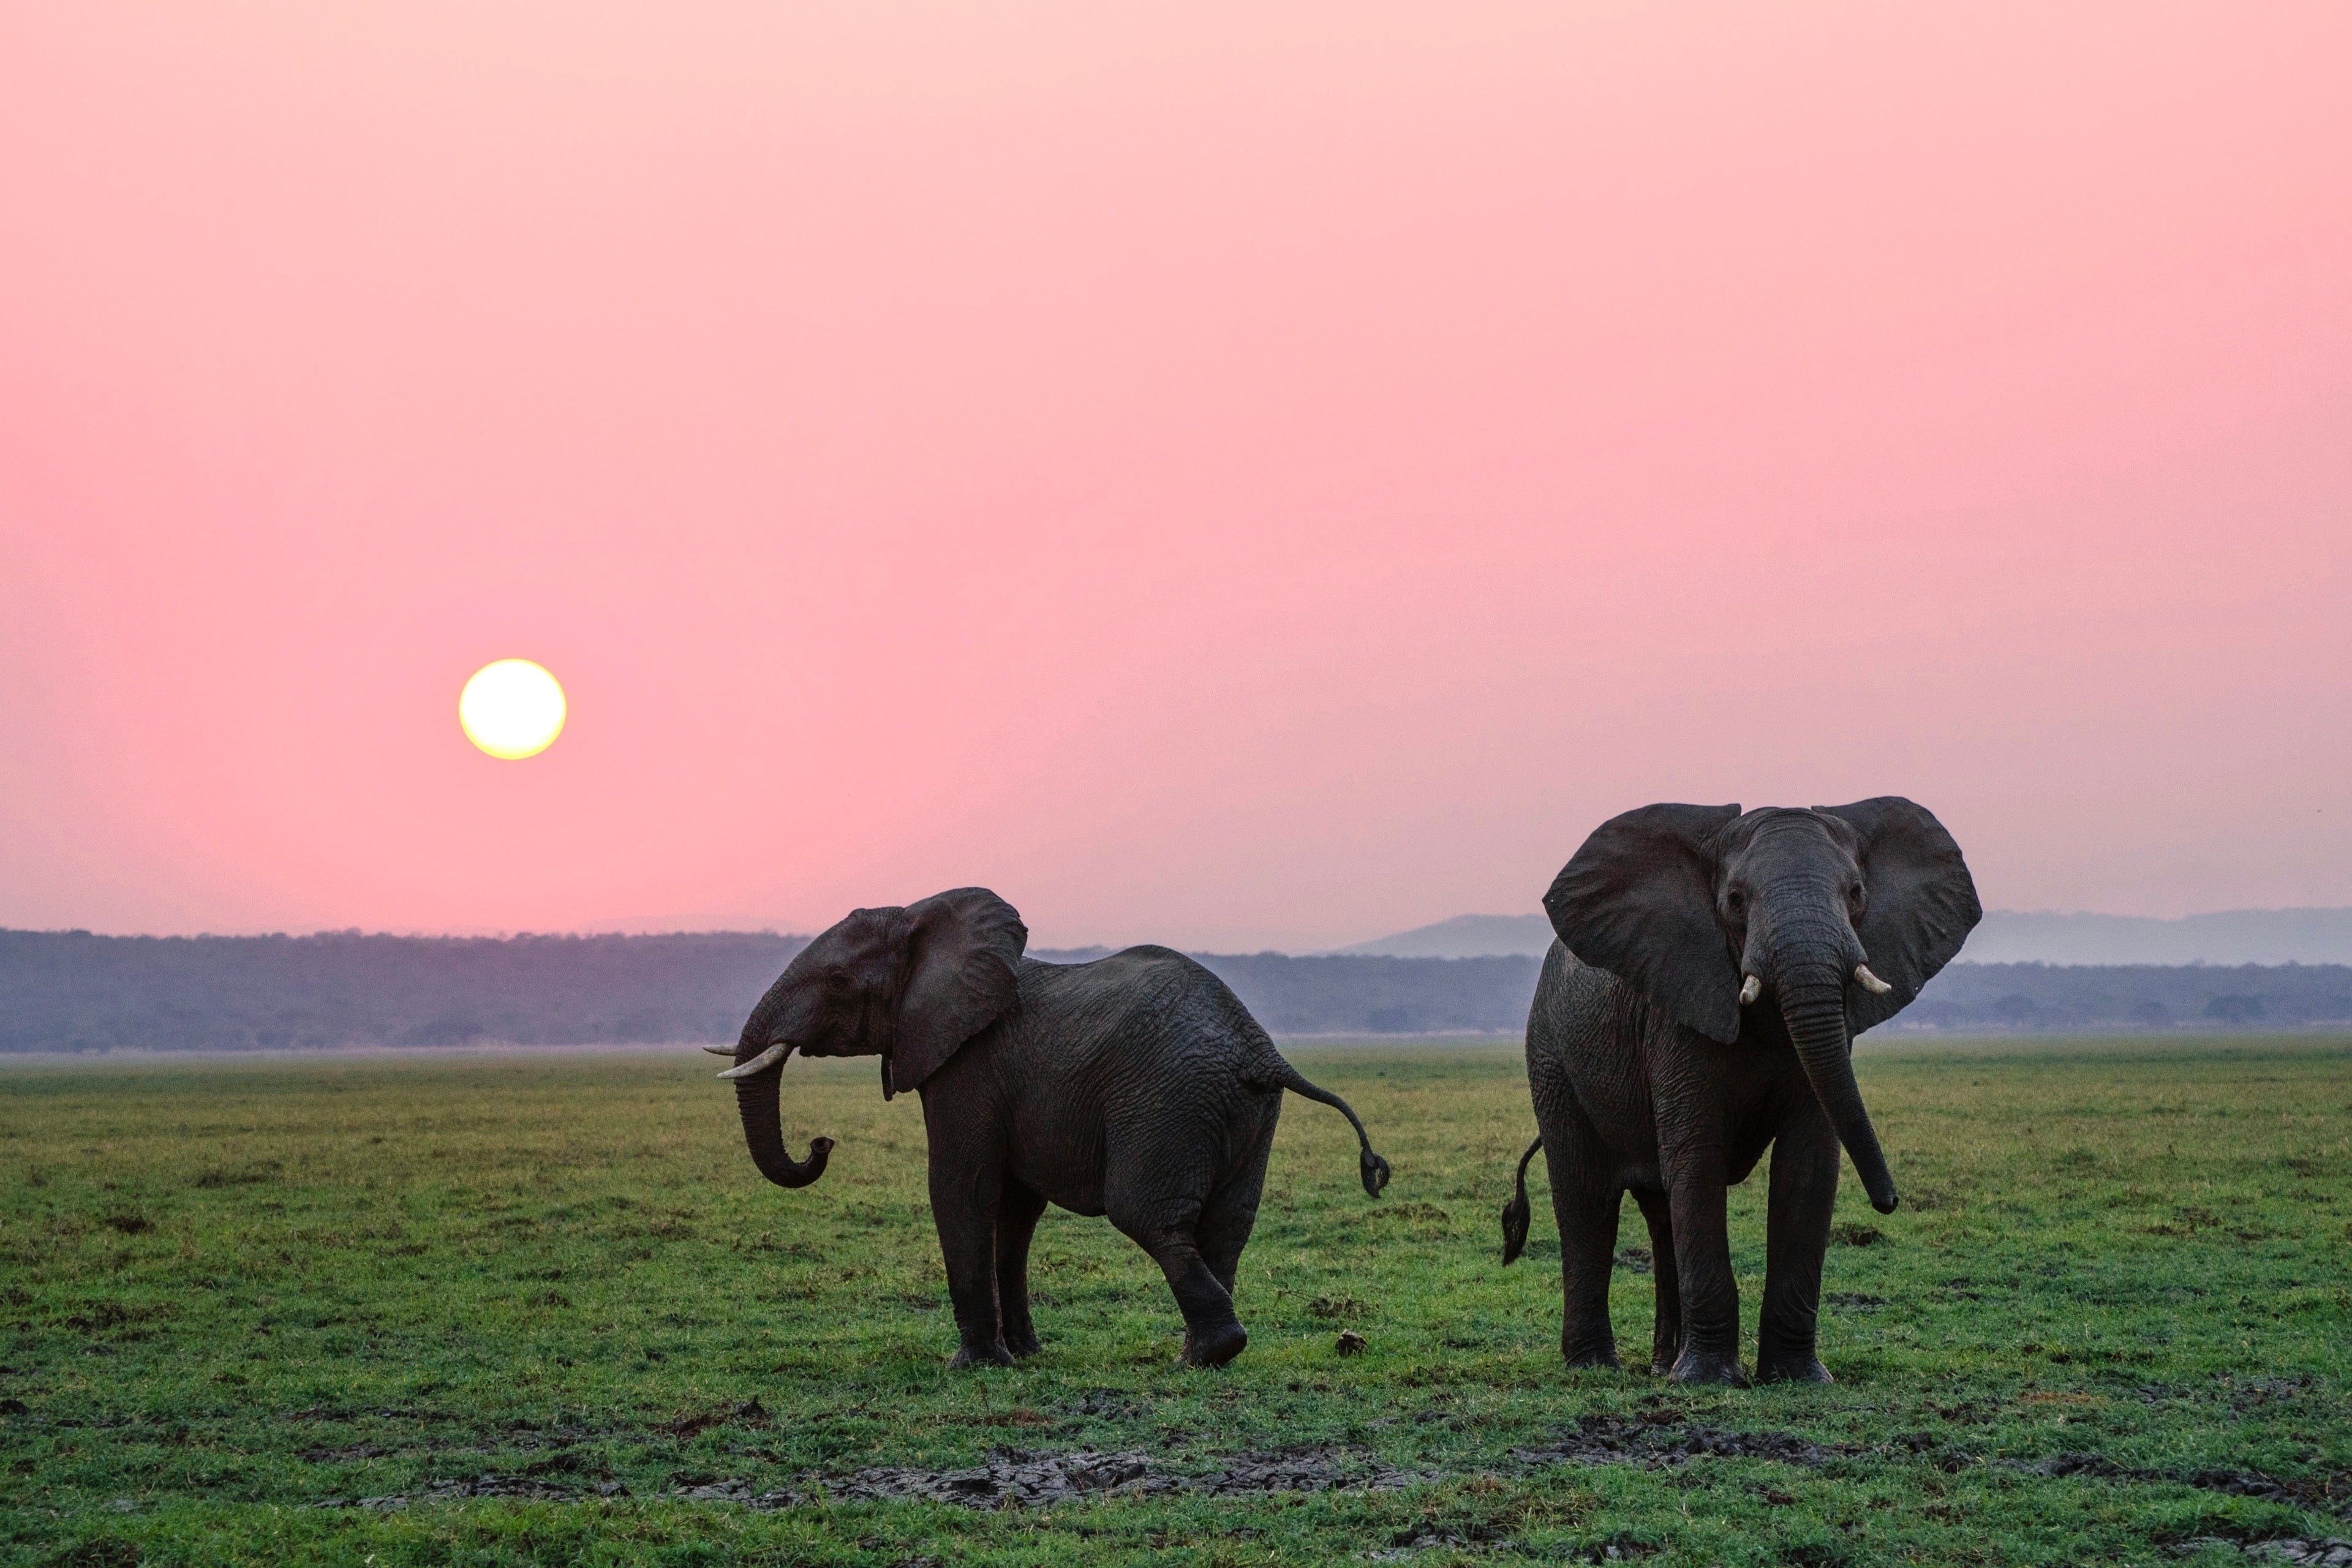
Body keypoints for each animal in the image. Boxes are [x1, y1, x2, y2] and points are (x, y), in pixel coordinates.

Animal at [711, 887, 1391, 1368]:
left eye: (836, 982)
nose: (821, 1142)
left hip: (1168, 1101)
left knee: (1147, 1215)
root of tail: (1259, 1048)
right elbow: (1015, 1210)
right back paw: (1202, 1356)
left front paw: (973, 1365)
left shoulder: (968, 1066)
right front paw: (1027, 1356)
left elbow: (961, 1188)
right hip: (1244, 1110)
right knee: (1226, 1226)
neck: (920, 917)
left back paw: (1204, 1355)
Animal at [1498, 799, 1978, 1385]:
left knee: (1660, 1212)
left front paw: (1798, 1379)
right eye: (1734, 900)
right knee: (1588, 1200)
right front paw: (1707, 1380)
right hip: (1552, 1059)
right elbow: (1699, 1159)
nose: (1889, 1202)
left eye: (1856, 893)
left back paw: (1661, 1367)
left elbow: (1808, 1166)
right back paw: (1597, 1368)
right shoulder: (1678, 1009)